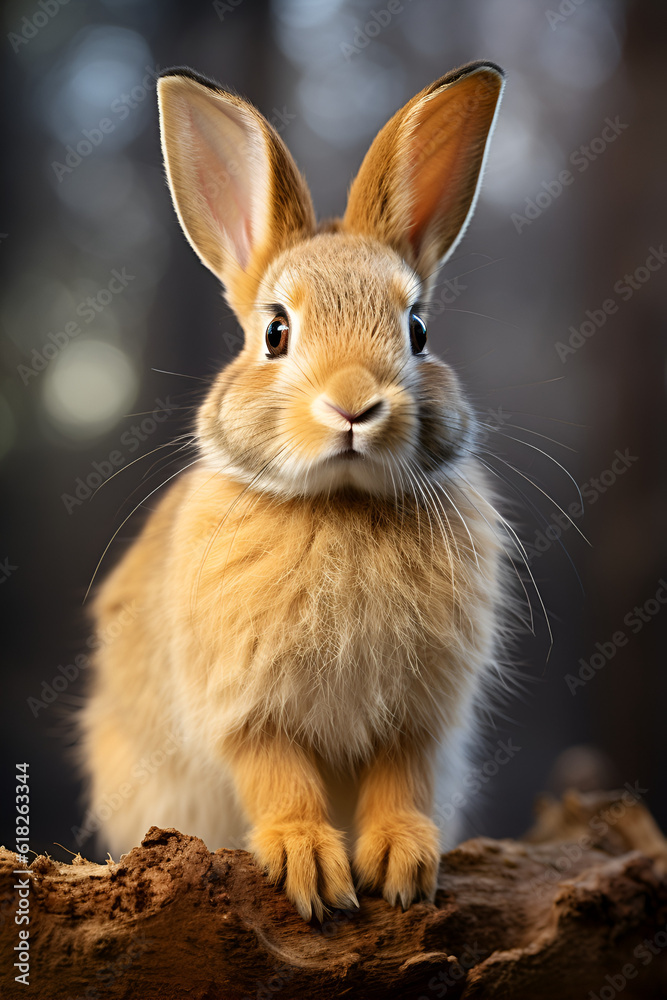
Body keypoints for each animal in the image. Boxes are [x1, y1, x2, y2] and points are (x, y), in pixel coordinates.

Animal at [78, 60, 511, 921]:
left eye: (417, 331)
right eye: (275, 332)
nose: (353, 404)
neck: (338, 502)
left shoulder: (418, 713)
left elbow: (399, 779)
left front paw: (404, 862)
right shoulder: (246, 707)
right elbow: (276, 774)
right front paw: (307, 861)